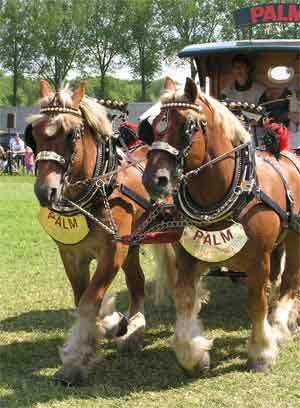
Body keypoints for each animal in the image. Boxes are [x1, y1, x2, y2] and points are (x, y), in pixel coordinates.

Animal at [25, 80, 169, 386]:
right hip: (133, 244)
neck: (101, 186)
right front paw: (115, 324)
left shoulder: (112, 252)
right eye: (36, 133)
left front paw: (75, 361)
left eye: (71, 134)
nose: (45, 191)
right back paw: (135, 329)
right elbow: (82, 299)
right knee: (137, 283)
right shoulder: (72, 256)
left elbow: (90, 301)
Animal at [142, 77, 300, 376]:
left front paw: (262, 352)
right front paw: (192, 353)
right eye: (154, 125)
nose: (153, 180)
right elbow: (185, 298)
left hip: (295, 237)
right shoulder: (187, 256)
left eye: (188, 125)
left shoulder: (257, 261)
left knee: (289, 281)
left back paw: (280, 324)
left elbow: (256, 303)